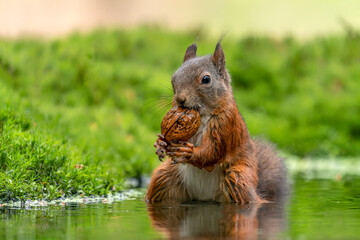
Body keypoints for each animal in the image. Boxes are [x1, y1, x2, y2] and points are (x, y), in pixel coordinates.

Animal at [146, 42, 286, 202]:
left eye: (206, 79)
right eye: (173, 79)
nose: (180, 99)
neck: (201, 115)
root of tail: (204, 197)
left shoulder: (227, 124)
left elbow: (214, 151)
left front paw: (189, 153)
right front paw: (160, 143)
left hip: (237, 179)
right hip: (163, 178)